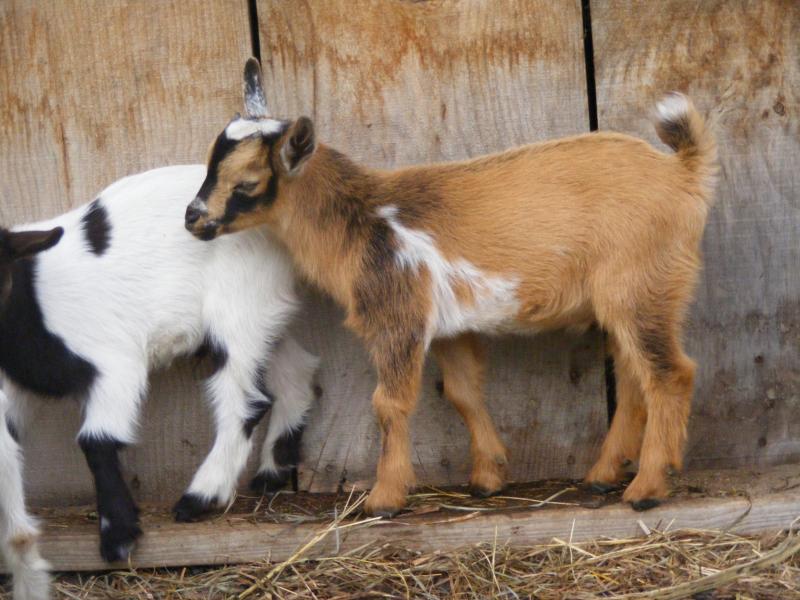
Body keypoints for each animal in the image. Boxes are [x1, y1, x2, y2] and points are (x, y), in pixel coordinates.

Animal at [0, 164, 319, 590]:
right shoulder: (19, 386)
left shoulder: (114, 363)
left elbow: (96, 442)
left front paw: (118, 535)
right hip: (266, 313)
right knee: (297, 372)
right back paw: (273, 471)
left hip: (238, 308)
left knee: (247, 402)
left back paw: (200, 498)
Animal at [185, 58, 717, 517]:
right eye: (210, 164)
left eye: (247, 182)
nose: (193, 218)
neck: (361, 218)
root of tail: (682, 173)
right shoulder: (448, 328)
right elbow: (463, 392)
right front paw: (488, 477)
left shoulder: (398, 316)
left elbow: (389, 403)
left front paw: (385, 499)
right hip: (633, 297)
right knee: (633, 376)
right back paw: (603, 475)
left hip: (642, 286)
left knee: (670, 374)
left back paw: (647, 488)